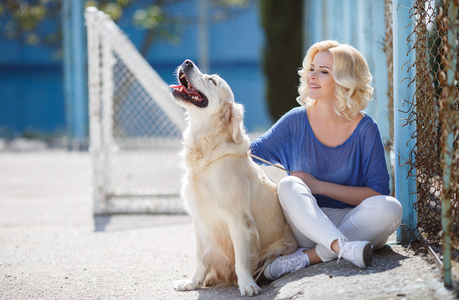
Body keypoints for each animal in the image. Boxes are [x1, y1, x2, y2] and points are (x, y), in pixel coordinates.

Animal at [171, 59, 296, 296]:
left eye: (212, 80)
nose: (187, 62)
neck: (207, 151)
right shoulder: (200, 219)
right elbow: (200, 257)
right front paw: (193, 282)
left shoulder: (238, 219)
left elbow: (241, 259)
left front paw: (247, 284)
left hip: (280, 249)